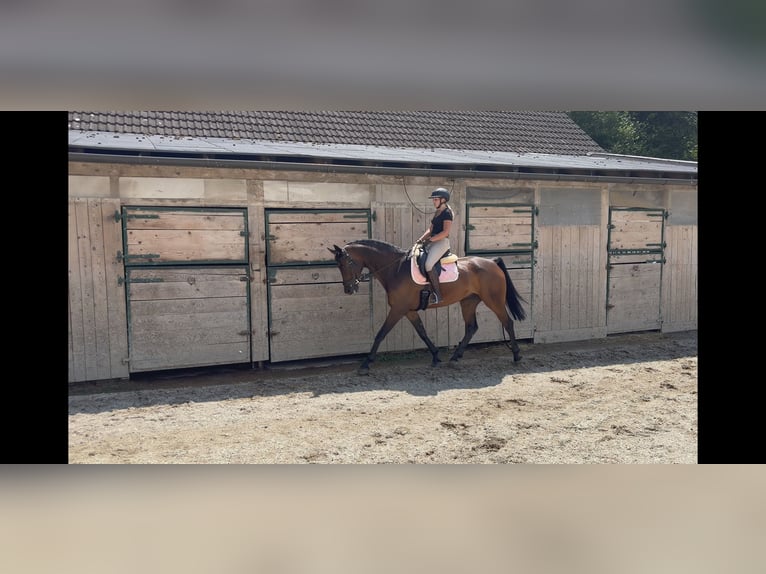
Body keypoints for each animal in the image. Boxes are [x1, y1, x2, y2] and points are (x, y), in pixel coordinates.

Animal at [329, 238, 527, 375]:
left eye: (346, 263)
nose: (349, 289)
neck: (395, 269)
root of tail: (491, 262)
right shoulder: (408, 311)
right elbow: (422, 332)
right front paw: (436, 356)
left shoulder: (398, 309)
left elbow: (380, 334)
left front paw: (366, 364)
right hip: (468, 302)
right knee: (471, 327)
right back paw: (455, 358)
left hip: (494, 300)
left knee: (507, 322)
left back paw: (517, 356)